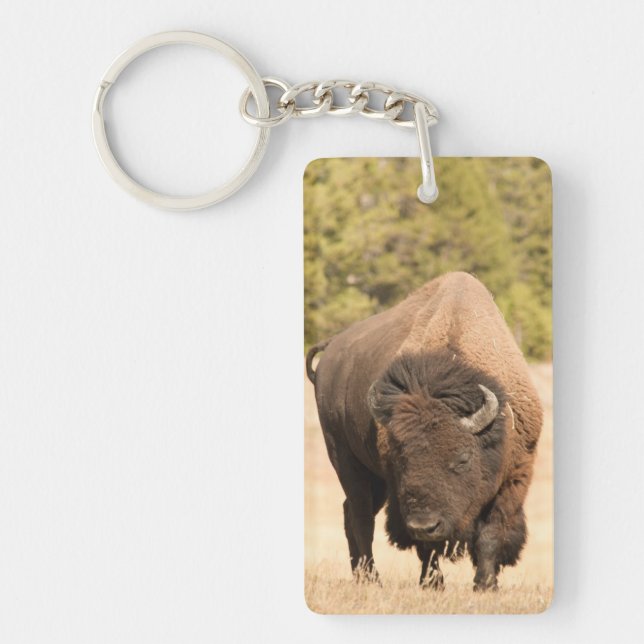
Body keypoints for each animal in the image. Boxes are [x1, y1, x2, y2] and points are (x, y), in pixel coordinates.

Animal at [306, 272, 543, 590]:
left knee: (350, 513)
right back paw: (371, 579)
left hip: (373, 480)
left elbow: (491, 533)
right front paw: (433, 584)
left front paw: (485, 585)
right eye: (402, 459)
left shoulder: (515, 477)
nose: (424, 524)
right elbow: (426, 547)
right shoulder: (400, 493)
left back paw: (361, 576)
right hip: (345, 460)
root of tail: (331, 348)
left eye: (462, 459)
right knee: (360, 517)